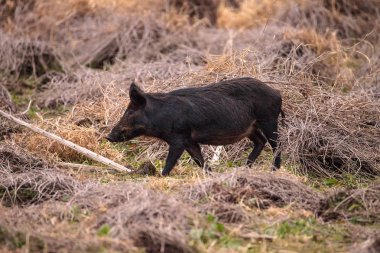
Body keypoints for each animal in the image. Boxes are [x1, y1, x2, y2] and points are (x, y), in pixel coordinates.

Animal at [107, 77, 284, 176]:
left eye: (130, 112)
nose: (108, 136)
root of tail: (277, 92)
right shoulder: (189, 141)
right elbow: (199, 159)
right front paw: (211, 174)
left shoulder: (178, 139)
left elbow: (171, 161)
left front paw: (161, 176)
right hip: (251, 128)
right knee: (260, 141)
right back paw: (245, 168)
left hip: (268, 120)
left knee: (277, 144)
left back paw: (273, 170)